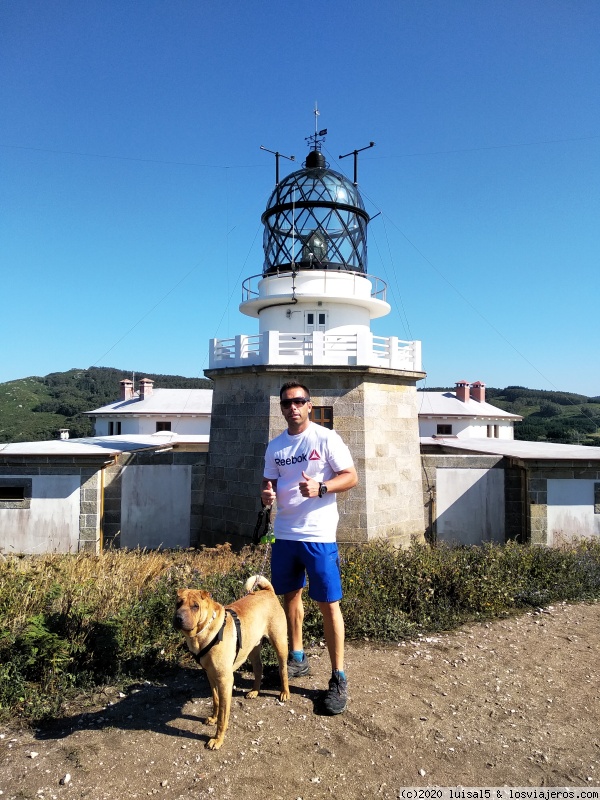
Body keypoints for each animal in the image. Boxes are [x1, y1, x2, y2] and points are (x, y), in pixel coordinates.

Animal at [173, 576, 290, 752]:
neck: (204, 633)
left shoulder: (225, 681)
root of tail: (267, 591)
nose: (178, 618)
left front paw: (217, 739)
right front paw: (213, 718)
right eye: (178, 603)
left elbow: (223, 715)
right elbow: (215, 701)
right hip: (252, 648)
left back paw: (285, 692)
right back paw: (254, 691)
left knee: (283, 669)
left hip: (279, 642)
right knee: (258, 668)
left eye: (195, 606)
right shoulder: (210, 675)